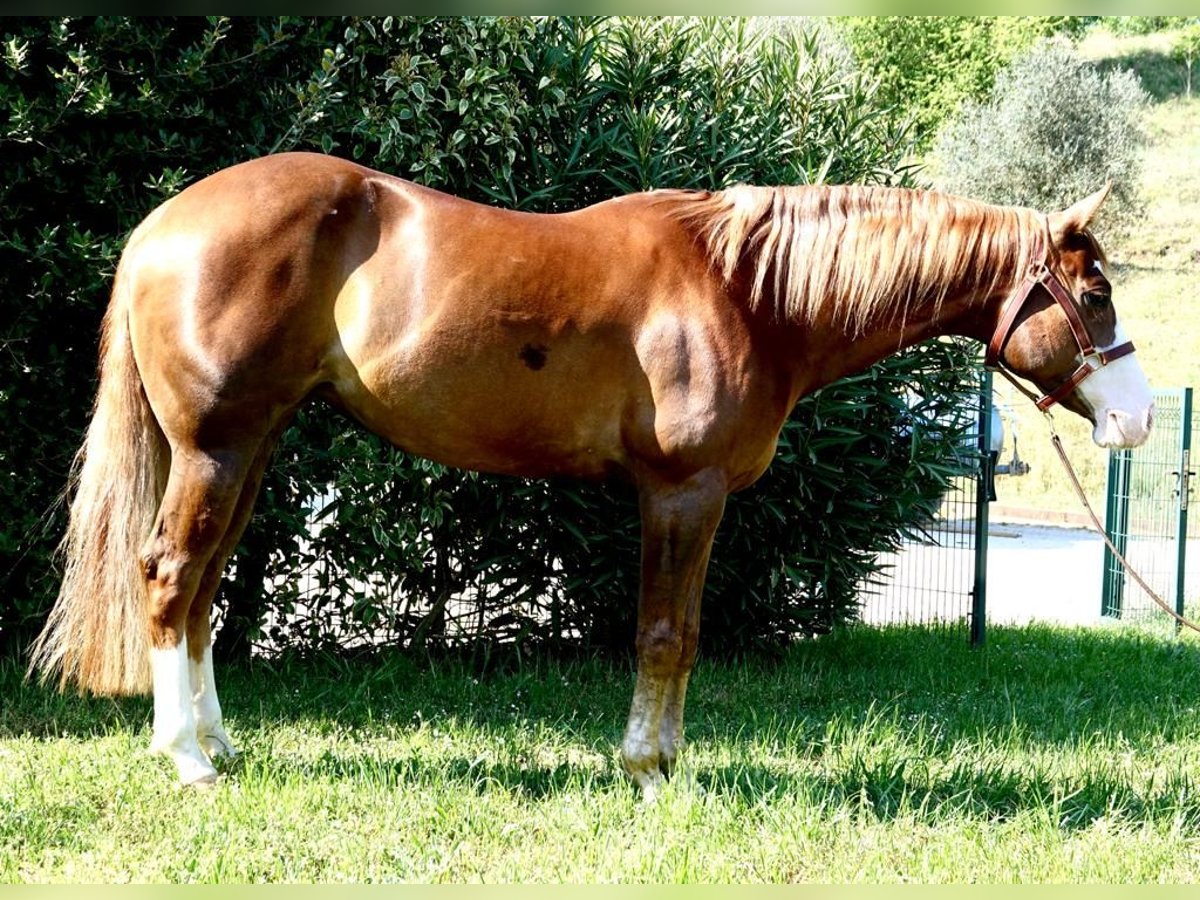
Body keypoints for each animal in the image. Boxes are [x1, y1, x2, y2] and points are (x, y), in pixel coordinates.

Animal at [30, 153, 1152, 796]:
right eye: (1093, 295)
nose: (1138, 418)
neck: (751, 291)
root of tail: (160, 228)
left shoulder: (694, 496)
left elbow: (680, 633)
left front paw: (660, 768)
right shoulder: (681, 490)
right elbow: (665, 635)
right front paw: (651, 775)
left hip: (249, 448)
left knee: (205, 588)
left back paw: (215, 744)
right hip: (216, 447)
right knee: (171, 578)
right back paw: (185, 760)